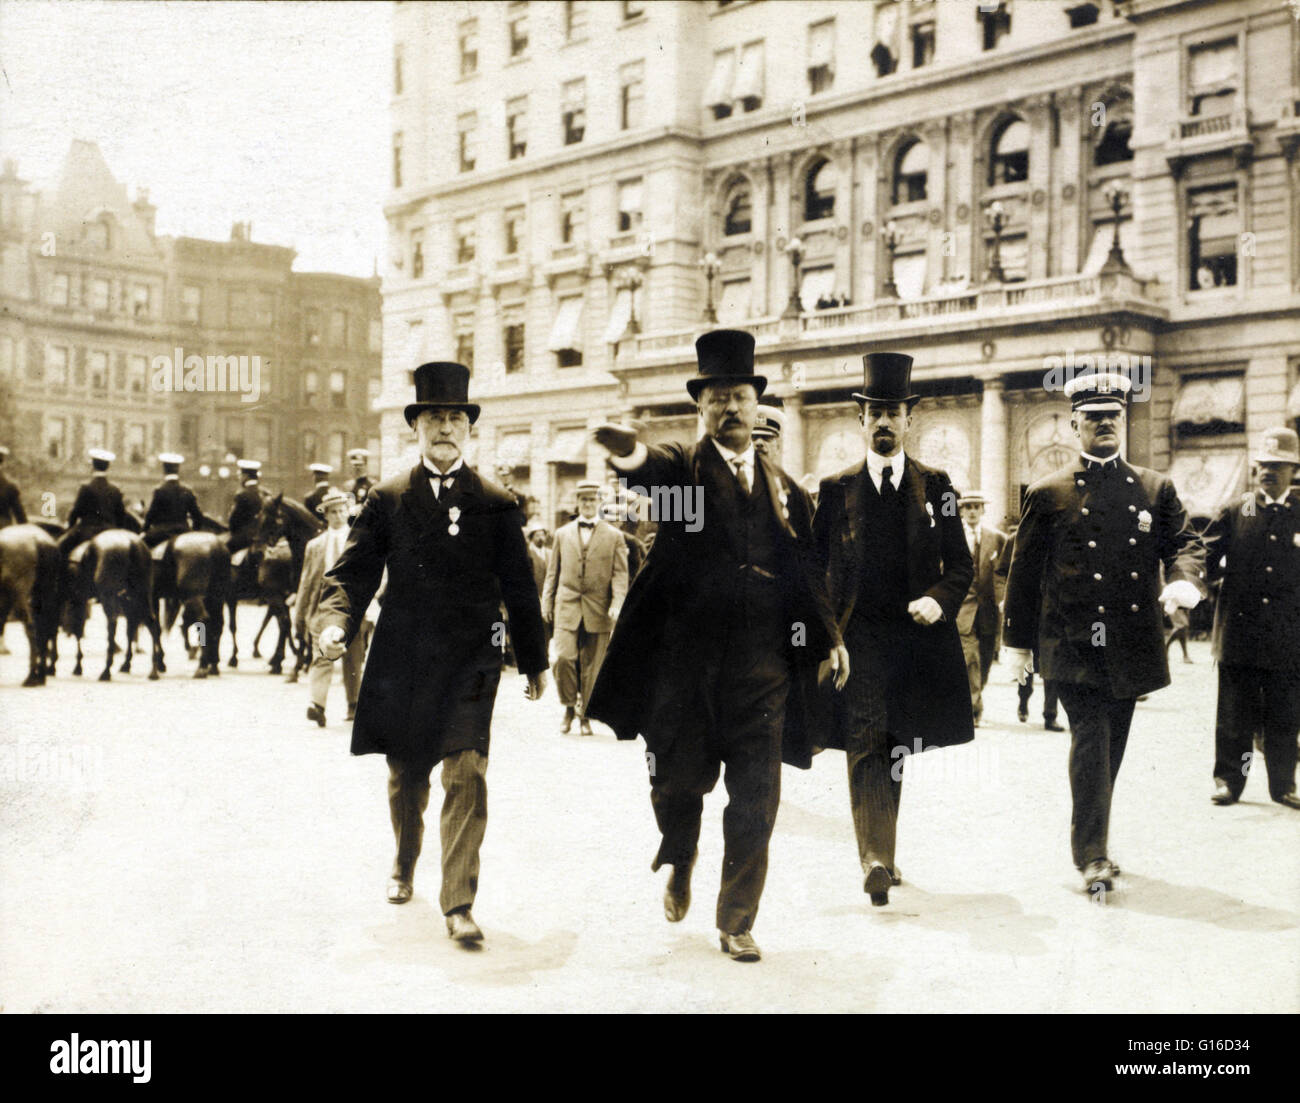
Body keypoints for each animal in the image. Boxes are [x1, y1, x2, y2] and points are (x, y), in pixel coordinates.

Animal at [0, 522, 60, 686]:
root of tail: (39, 540)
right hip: (44, 592)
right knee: (46, 628)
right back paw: (42, 675)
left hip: (21, 594)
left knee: (32, 627)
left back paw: (32, 676)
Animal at [64, 528, 162, 676]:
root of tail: (132, 543)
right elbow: (130, 630)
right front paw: (127, 663)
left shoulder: (79, 599)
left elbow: (79, 629)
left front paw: (78, 666)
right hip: (141, 595)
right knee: (151, 623)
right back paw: (152, 670)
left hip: (110, 598)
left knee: (112, 624)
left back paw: (106, 670)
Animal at [156, 533, 230, 676]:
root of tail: (216, 546)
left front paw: (160, 663)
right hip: (216, 598)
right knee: (217, 625)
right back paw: (213, 665)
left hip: (194, 597)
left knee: (204, 621)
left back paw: (201, 667)